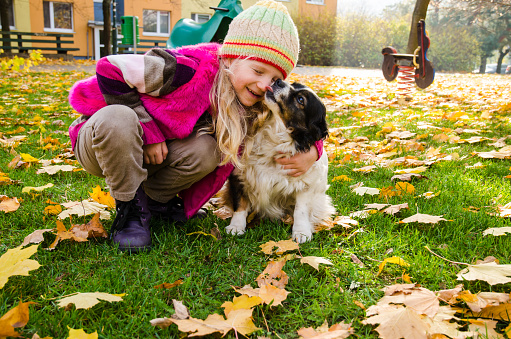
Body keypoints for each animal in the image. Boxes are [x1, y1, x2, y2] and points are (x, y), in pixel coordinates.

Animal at [223, 79, 336, 244]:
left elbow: (301, 210)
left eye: (300, 100)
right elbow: (240, 203)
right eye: (293, 84)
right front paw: (236, 226)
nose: (278, 81)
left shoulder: (306, 185)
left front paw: (301, 232)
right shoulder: (239, 176)